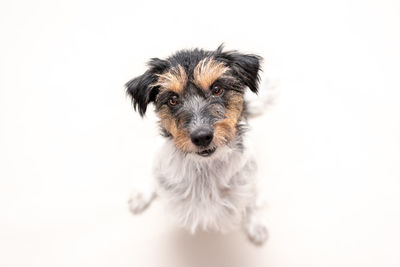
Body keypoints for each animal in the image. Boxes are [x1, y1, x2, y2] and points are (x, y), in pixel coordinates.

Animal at [126, 45, 268, 246]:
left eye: (217, 89)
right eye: (172, 99)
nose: (201, 137)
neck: (204, 169)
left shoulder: (249, 181)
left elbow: (253, 201)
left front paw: (256, 226)